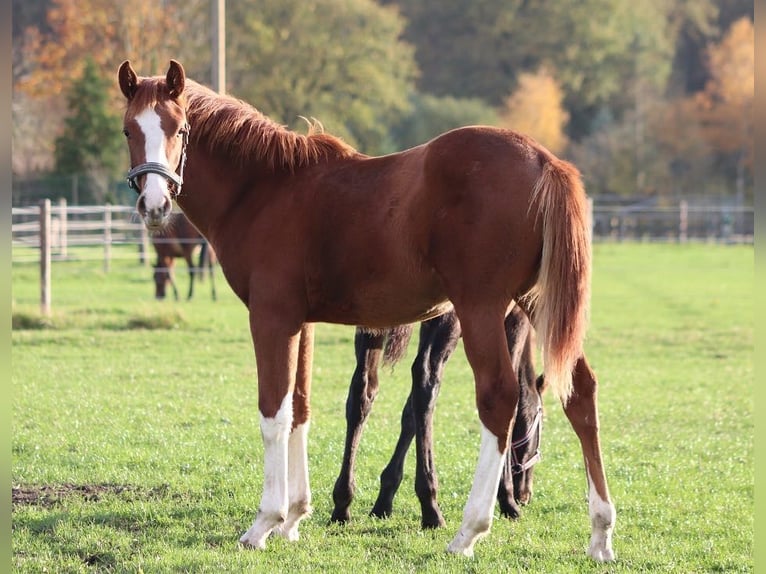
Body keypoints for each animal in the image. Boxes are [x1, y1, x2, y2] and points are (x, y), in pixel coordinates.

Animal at [334, 308, 544, 528]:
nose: (525, 495)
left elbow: (409, 415)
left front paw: (385, 498)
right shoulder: (514, 319)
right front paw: (507, 500)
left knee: (362, 389)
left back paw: (342, 503)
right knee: (425, 378)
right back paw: (431, 509)